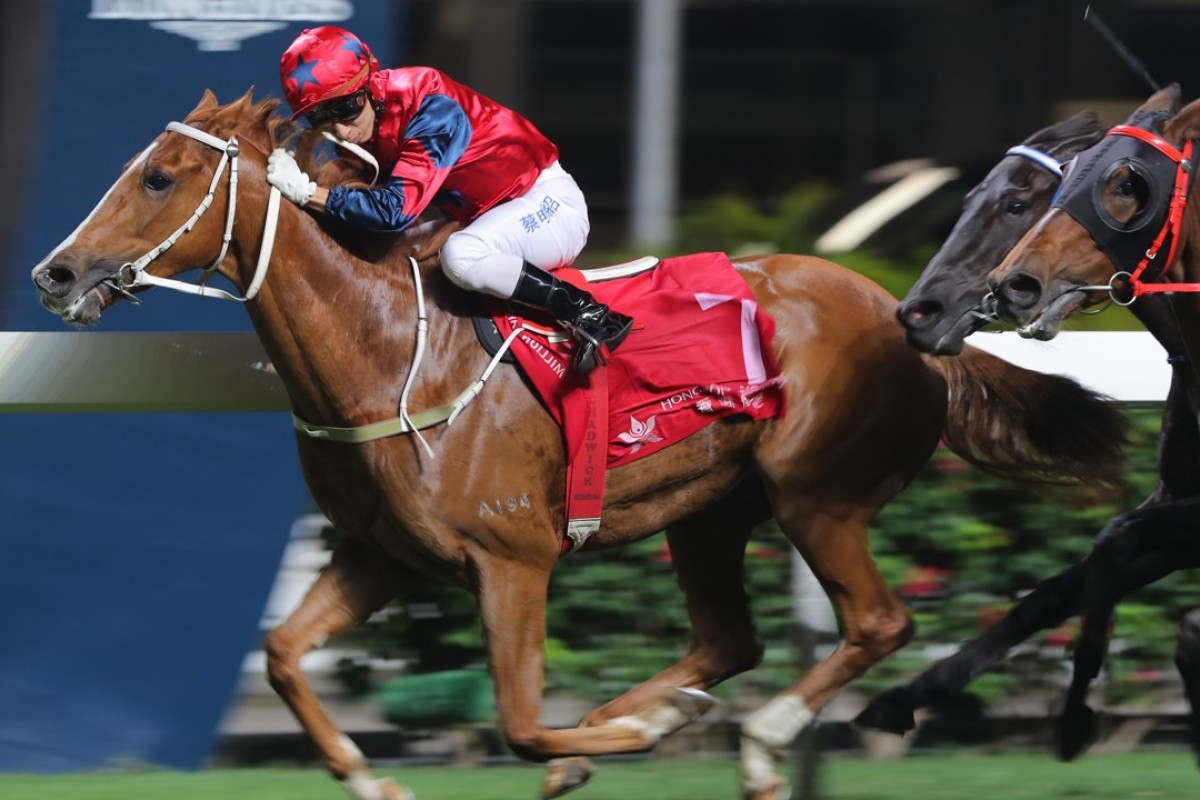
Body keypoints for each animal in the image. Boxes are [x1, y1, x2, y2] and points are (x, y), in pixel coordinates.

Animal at [30, 92, 1132, 800]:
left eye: (159, 176)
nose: (56, 272)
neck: (391, 352)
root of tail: (909, 318)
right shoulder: (382, 552)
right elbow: (285, 654)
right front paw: (374, 777)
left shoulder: (511, 559)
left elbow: (517, 718)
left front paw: (604, 737)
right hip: (710, 510)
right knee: (729, 639)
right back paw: (653, 713)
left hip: (817, 494)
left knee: (876, 622)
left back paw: (739, 738)